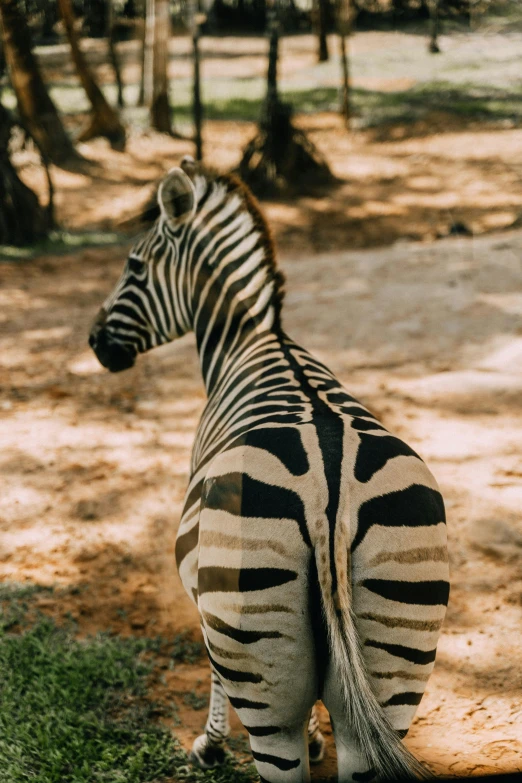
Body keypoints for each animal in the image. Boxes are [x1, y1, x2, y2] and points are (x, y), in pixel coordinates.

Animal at [88, 156, 446, 780]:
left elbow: (210, 667)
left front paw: (209, 744)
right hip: (399, 654)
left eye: (134, 265)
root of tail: (331, 496)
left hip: (257, 659)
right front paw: (317, 739)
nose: (94, 342)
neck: (253, 339)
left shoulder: (205, 587)